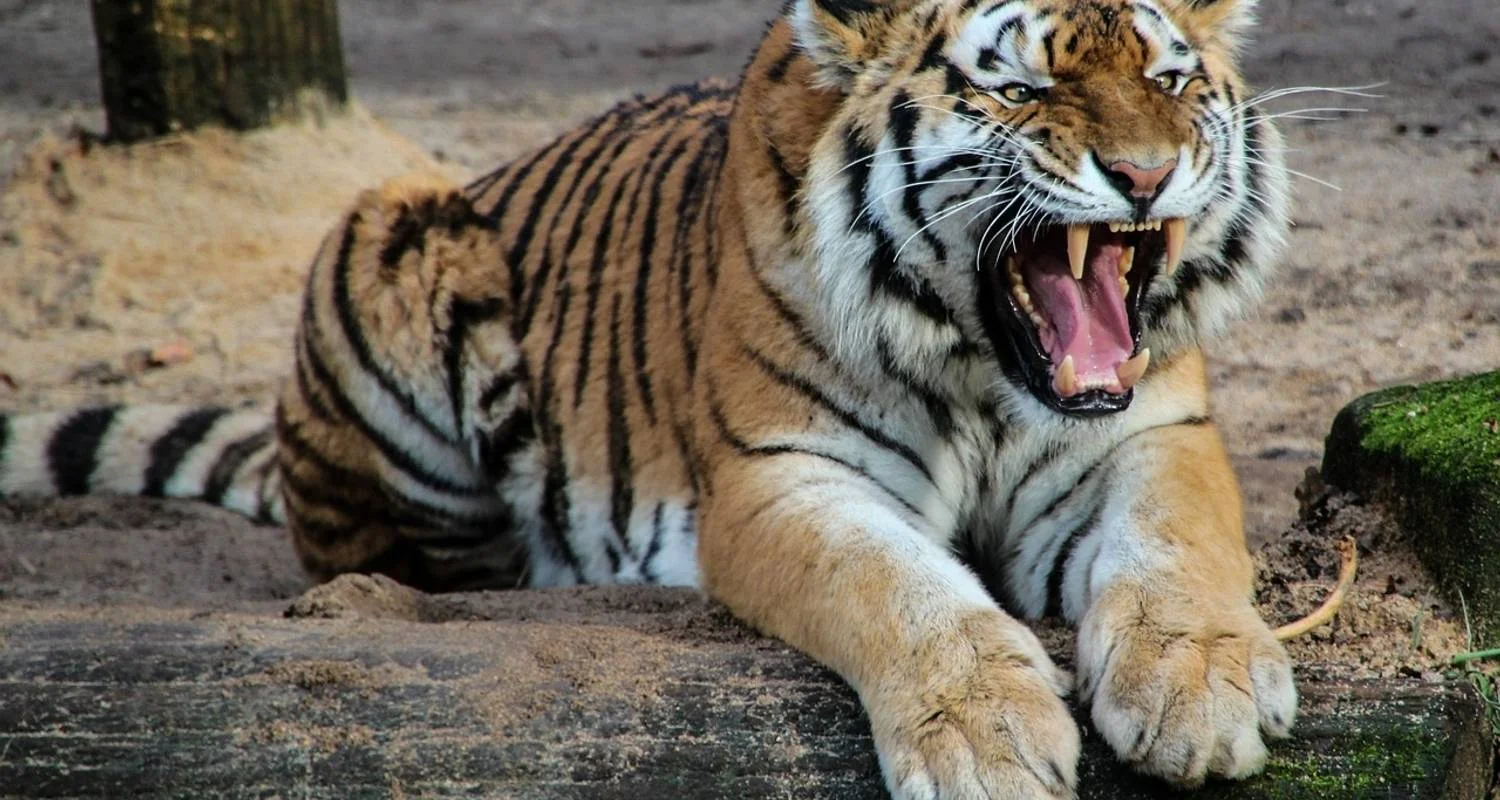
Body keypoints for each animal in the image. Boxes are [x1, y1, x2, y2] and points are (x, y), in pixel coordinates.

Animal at [1, 0, 1298, 795]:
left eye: (1169, 78)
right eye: (1023, 88)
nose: (1145, 175)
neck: (985, 367)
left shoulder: (1151, 433)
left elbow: (1179, 544)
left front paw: (1203, 686)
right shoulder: (780, 475)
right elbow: (899, 587)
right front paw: (986, 735)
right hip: (391, 228)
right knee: (390, 557)